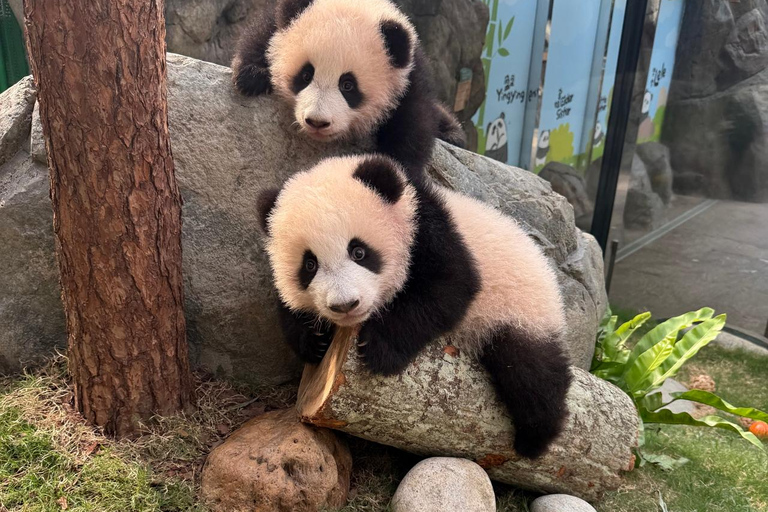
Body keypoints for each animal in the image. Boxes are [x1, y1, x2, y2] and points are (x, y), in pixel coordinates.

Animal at [232, 0, 466, 182]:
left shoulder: (408, 77)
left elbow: (413, 124)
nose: (317, 122)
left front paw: (397, 170)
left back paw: (453, 134)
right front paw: (252, 76)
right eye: (306, 75)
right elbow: (262, 34)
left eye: (348, 85)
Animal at [257, 154, 572, 459]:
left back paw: (536, 437)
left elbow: (448, 287)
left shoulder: (428, 229)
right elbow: (287, 306)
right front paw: (313, 341)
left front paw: (379, 349)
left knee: (530, 370)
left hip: (519, 307)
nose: (345, 305)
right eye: (309, 265)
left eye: (359, 252)